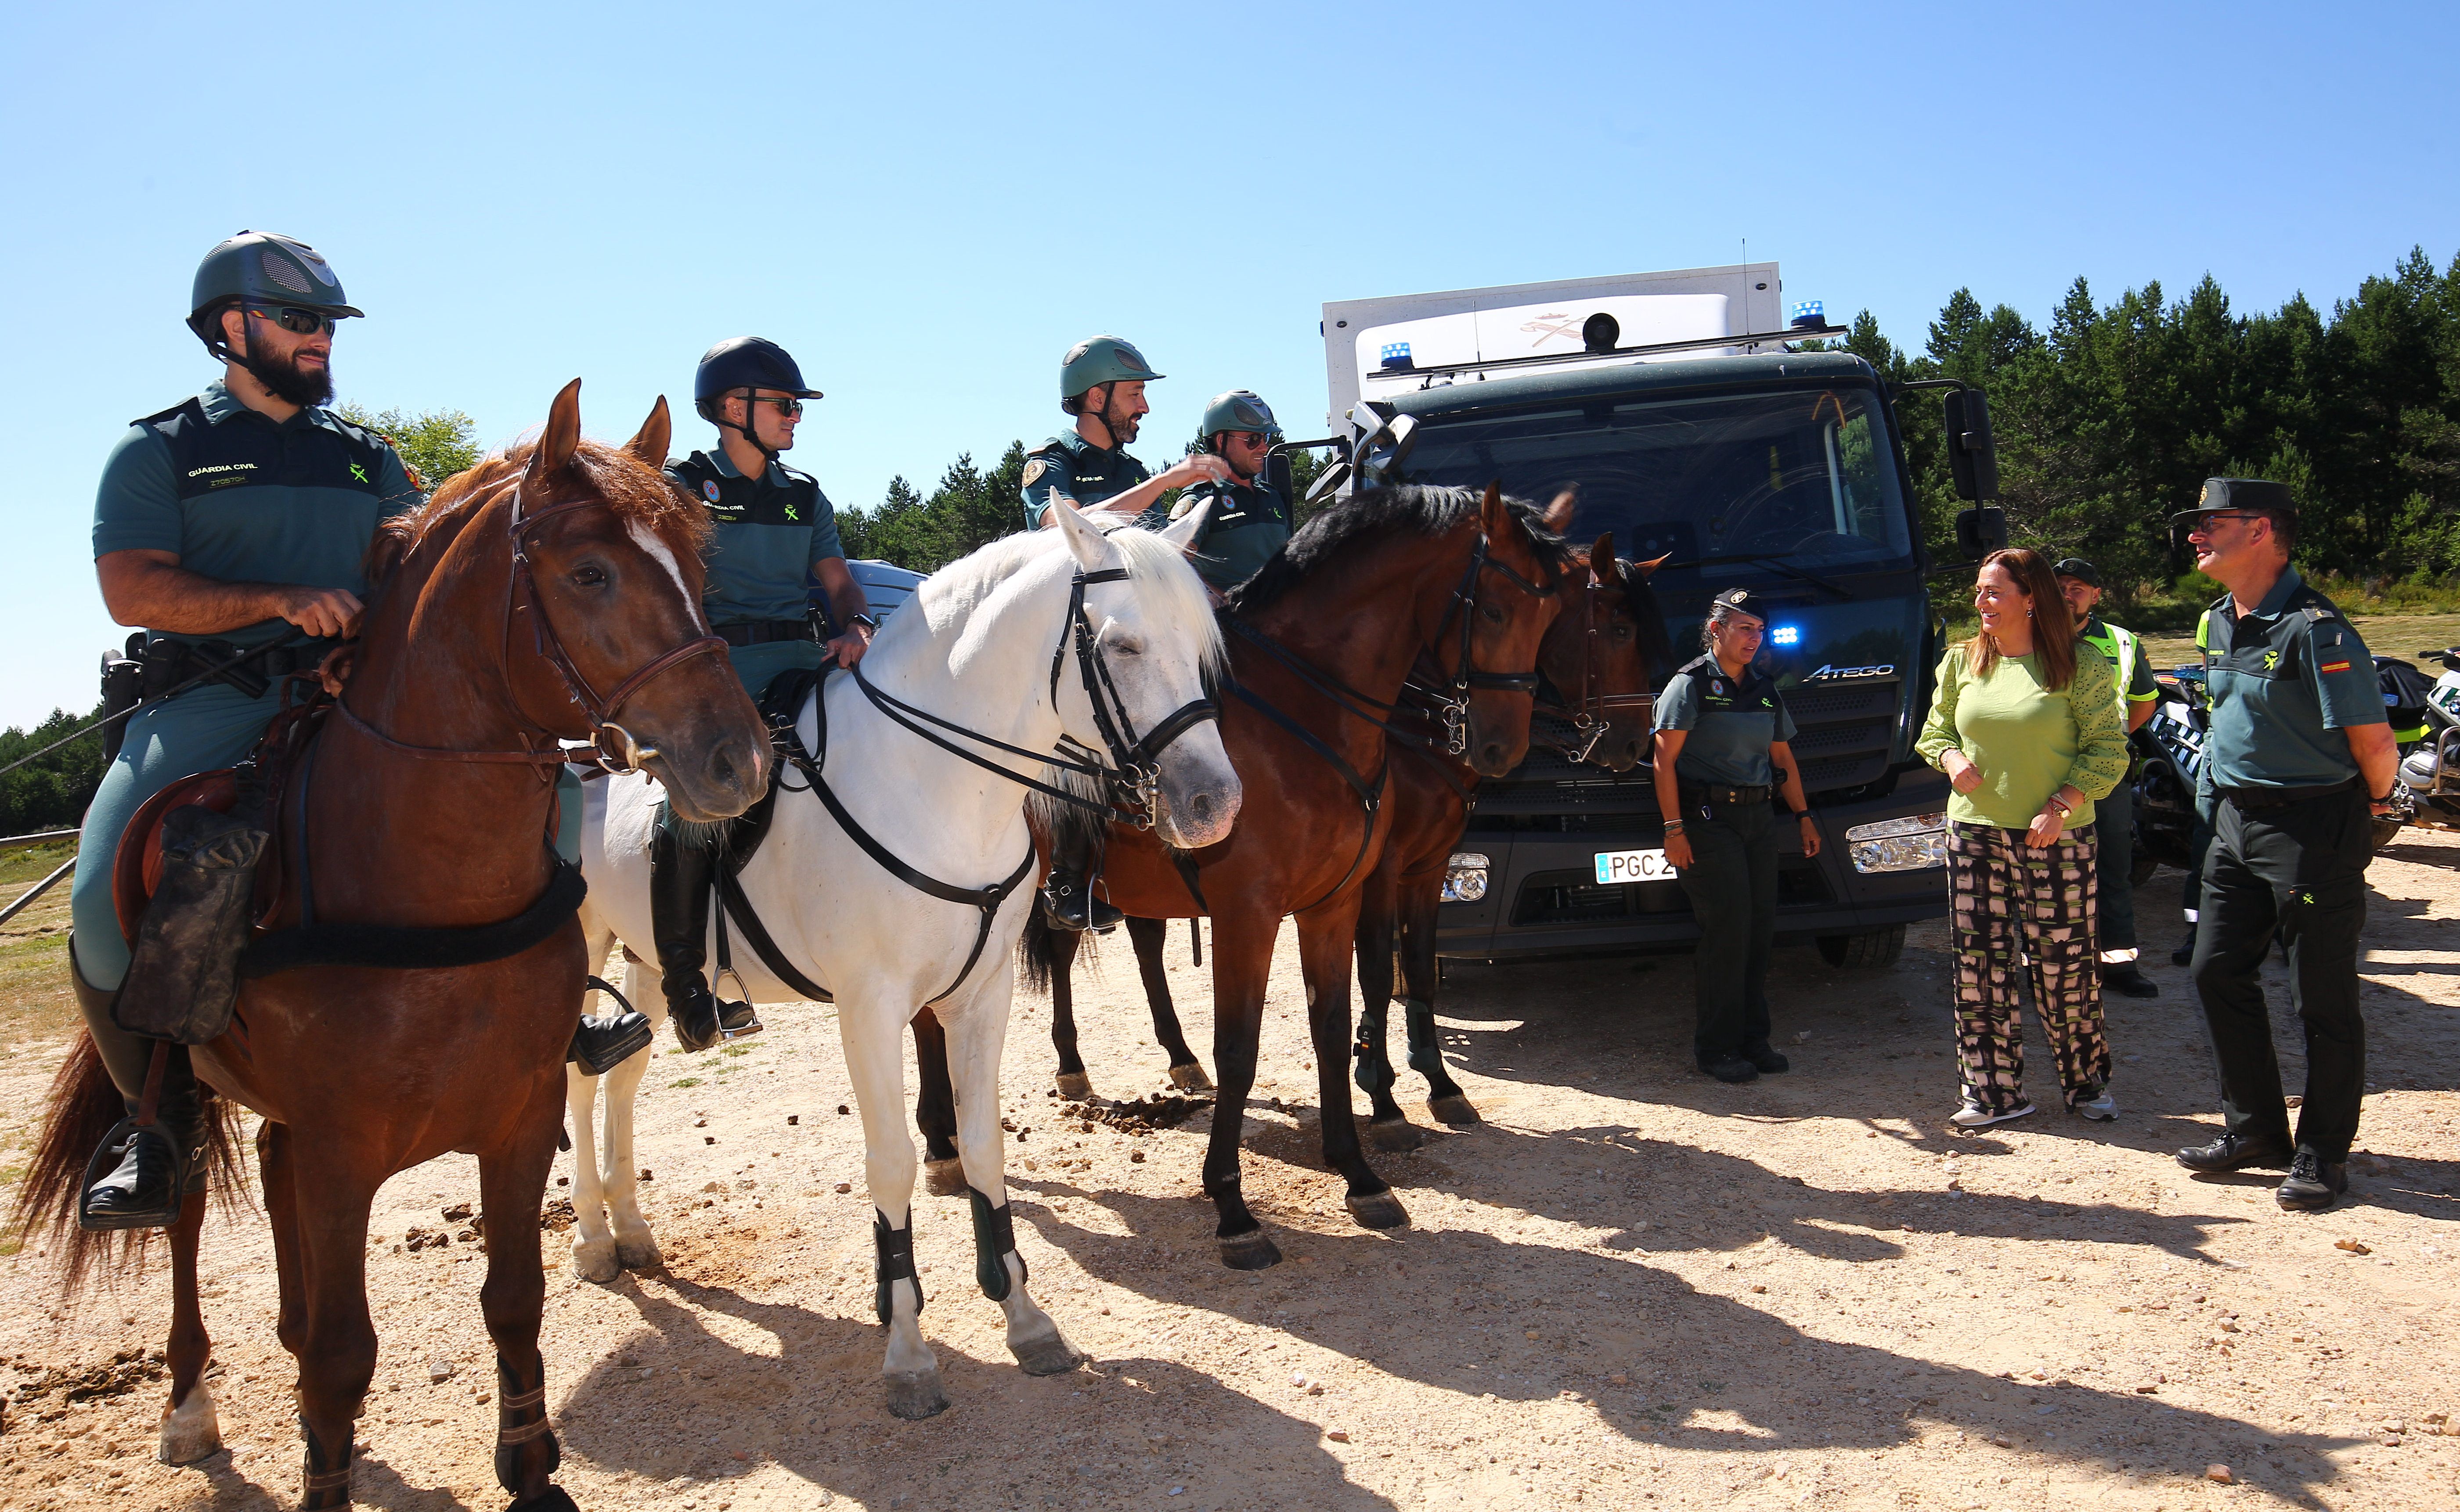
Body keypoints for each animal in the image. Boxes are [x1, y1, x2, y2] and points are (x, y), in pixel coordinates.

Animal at [14, 383, 762, 1505]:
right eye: (589, 572)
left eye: (697, 565)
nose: (739, 760)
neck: (428, 883)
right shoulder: (343, 1154)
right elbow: (343, 1353)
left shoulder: (515, 1120)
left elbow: (512, 1301)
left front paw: (530, 1468)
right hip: (181, 1098)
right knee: (183, 1215)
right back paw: (189, 1405)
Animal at [568, 506, 1240, 1416]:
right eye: (1125, 644)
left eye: (1201, 643)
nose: (1215, 802)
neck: (931, 783)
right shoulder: (870, 1007)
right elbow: (889, 1165)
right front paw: (909, 1350)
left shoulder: (982, 996)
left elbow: (985, 1145)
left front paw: (1025, 1317)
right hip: (581, 951)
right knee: (579, 1082)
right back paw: (593, 1236)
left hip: (643, 959)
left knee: (623, 1082)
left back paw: (633, 1226)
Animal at [925, 482, 1574, 1268]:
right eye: (1500, 609)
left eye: (1552, 615)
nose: (1501, 747)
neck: (1304, 721)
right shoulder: (1250, 915)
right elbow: (1238, 1050)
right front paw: (1233, 1207)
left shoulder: (1332, 905)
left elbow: (1332, 1026)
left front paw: (1358, 1172)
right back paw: (941, 1145)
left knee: (1063, 947)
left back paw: (1079, 1068)